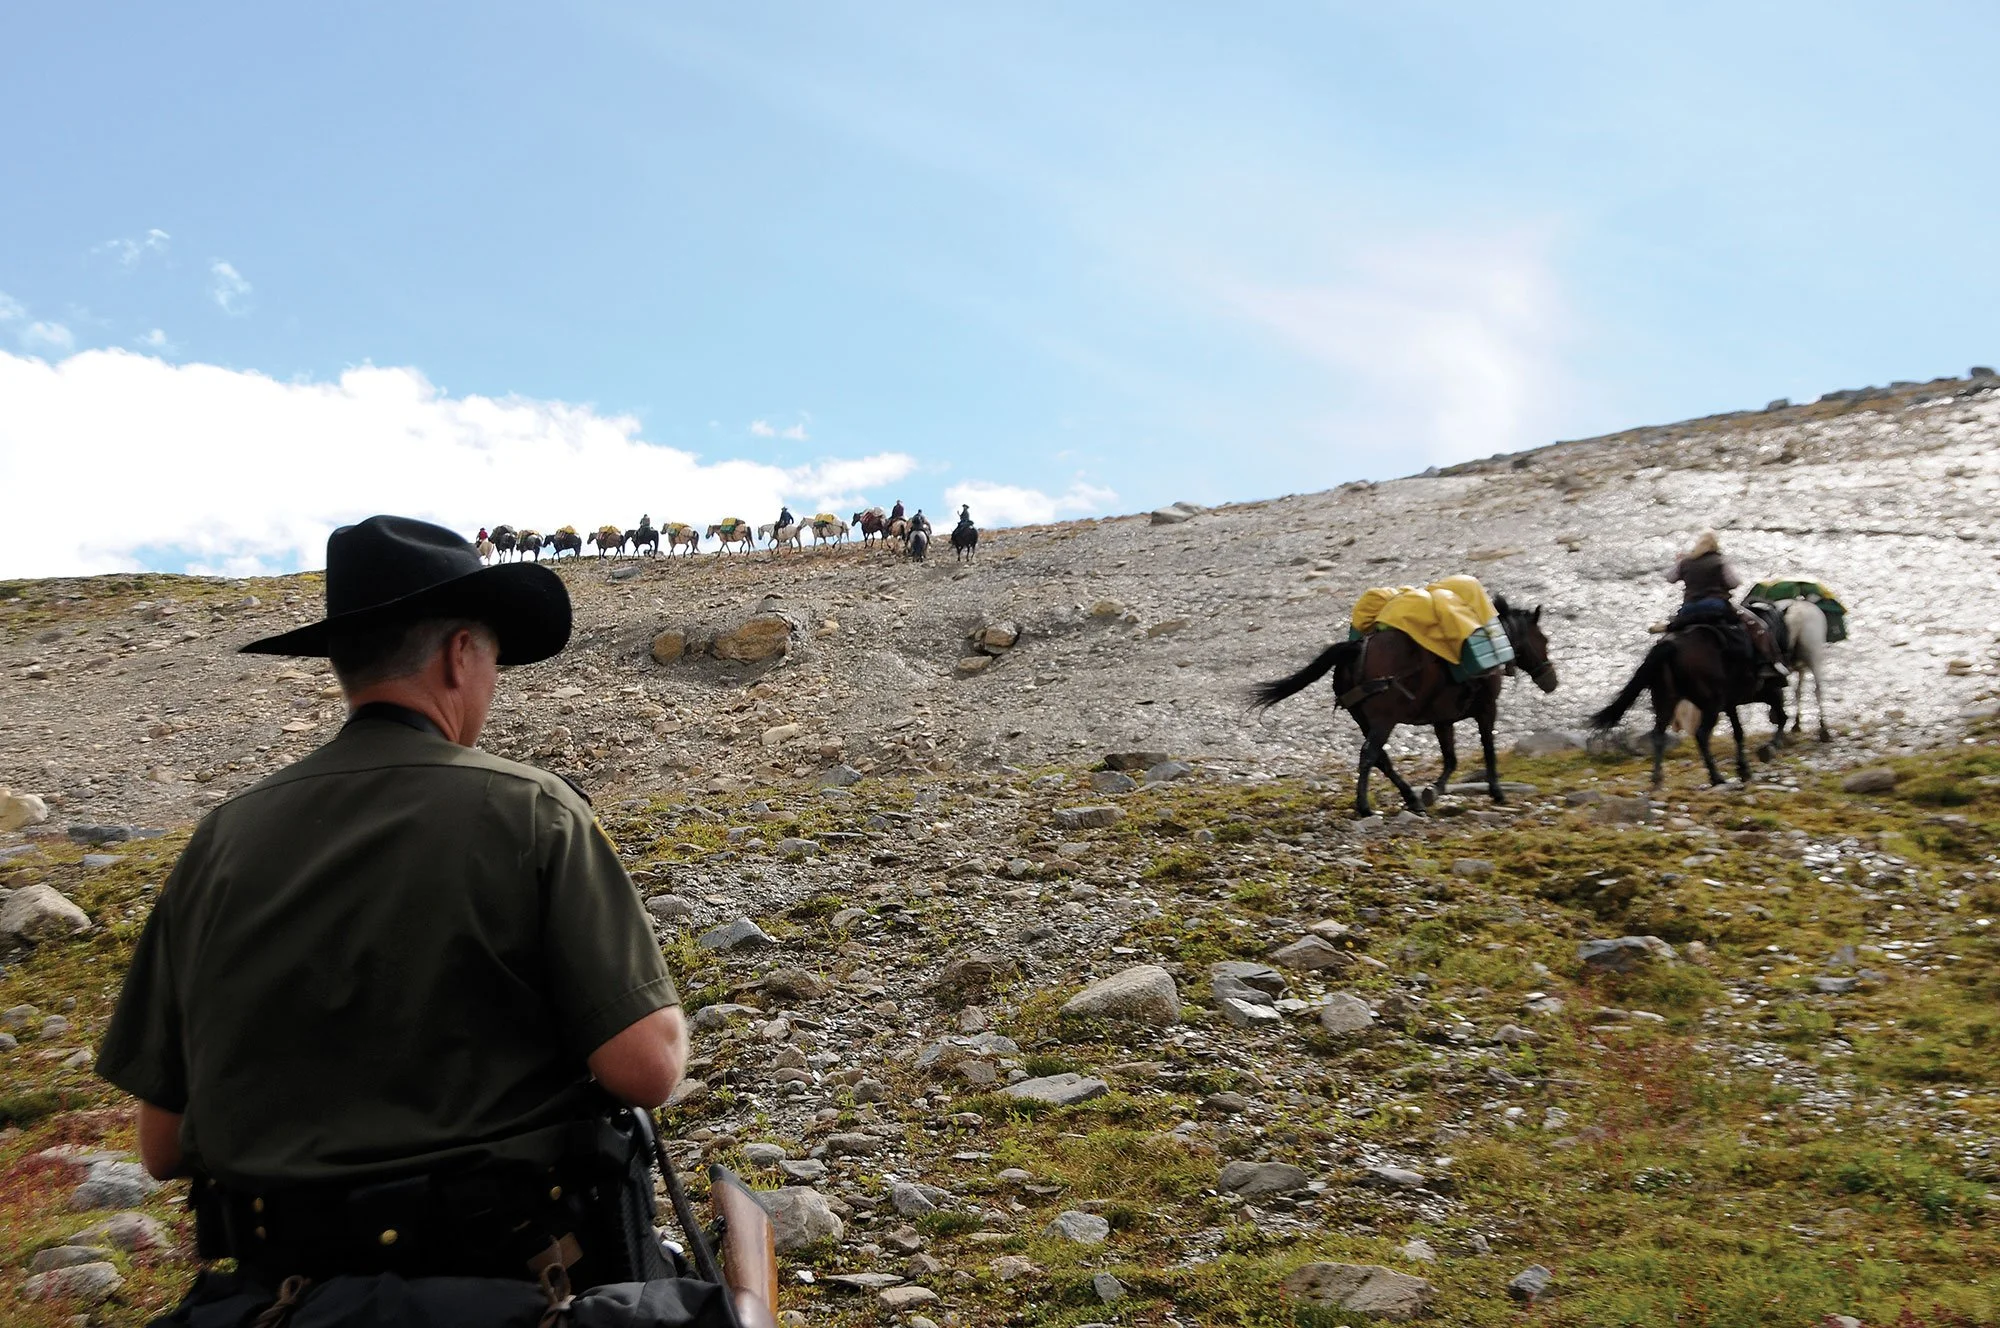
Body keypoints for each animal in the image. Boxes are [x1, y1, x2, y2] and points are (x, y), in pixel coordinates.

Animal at [1252, 600, 1558, 818]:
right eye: (1543, 640)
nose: (1551, 681)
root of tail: (1357, 648)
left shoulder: (1442, 720)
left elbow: (1450, 758)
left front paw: (1434, 790)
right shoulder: (1486, 710)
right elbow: (1488, 750)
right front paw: (1496, 791)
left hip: (1366, 720)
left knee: (1381, 759)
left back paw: (1411, 798)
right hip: (1383, 721)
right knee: (1370, 755)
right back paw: (1365, 806)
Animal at [1590, 623, 1787, 787]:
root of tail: (1670, 646)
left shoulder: (1731, 703)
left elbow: (1739, 732)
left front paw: (1744, 768)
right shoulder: (1765, 692)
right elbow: (1778, 717)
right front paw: (1770, 747)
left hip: (1666, 701)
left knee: (1658, 735)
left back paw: (1657, 779)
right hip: (1711, 705)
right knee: (1701, 735)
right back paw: (1716, 777)